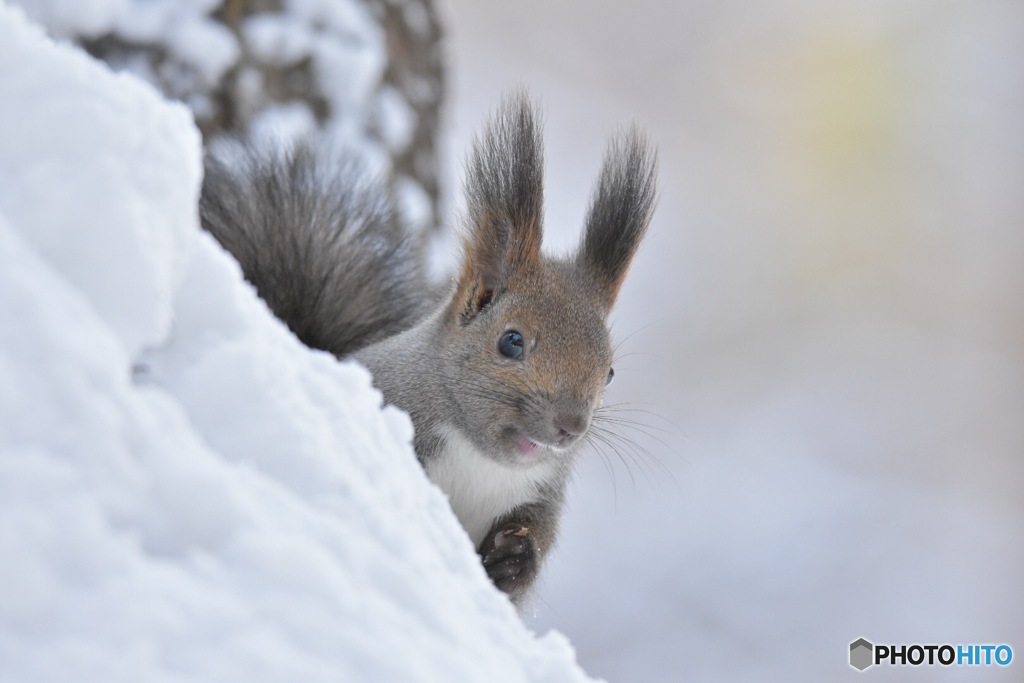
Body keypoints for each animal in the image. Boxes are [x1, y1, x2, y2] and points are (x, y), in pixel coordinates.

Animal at [199, 92, 655, 602]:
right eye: (511, 341)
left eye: (610, 371)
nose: (570, 427)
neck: (483, 462)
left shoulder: (541, 495)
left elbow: (534, 546)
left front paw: (517, 559)